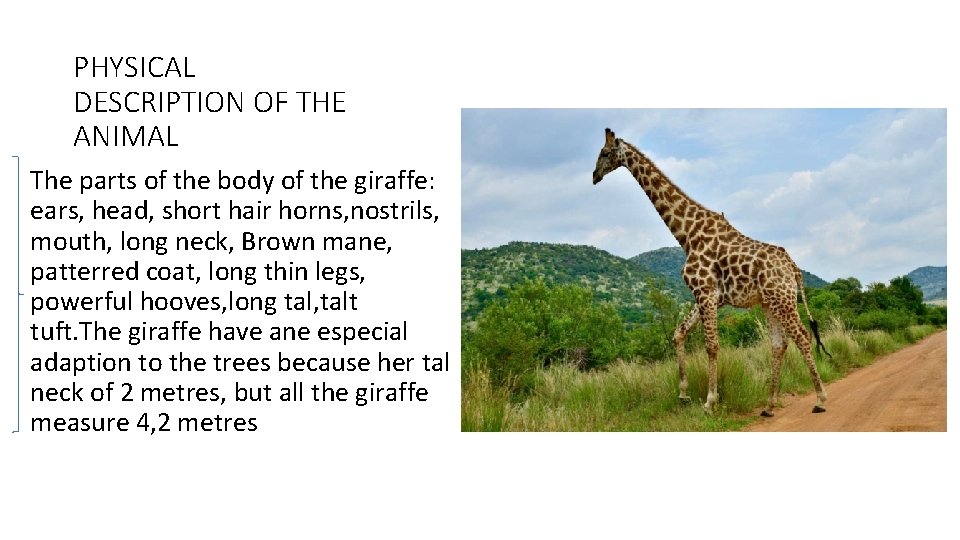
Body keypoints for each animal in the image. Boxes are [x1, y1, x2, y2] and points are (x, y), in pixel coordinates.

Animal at [592, 128, 828, 416]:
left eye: (605, 153)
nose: (594, 176)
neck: (687, 234)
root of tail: (793, 268)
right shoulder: (706, 295)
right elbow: (679, 332)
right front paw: (683, 394)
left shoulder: (705, 292)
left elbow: (711, 346)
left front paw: (709, 402)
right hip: (769, 303)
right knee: (779, 344)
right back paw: (769, 404)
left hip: (783, 300)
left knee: (803, 337)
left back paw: (820, 399)